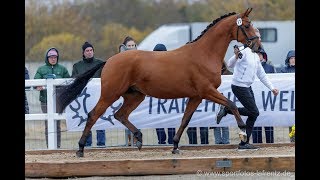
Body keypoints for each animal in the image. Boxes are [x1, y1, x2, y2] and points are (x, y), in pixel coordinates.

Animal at [57, 8, 262, 158]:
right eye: (247, 25)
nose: (258, 46)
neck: (204, 53)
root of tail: (110, 60)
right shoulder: (207, 91)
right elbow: (231, 104)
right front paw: (243, 134)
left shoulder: (196, 96)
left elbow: (185, 120)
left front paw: (175, 146)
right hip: (111, 94)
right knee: (93, 115)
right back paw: (80, 149)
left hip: (135, 96)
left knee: (120, 115)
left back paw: (139, 138)